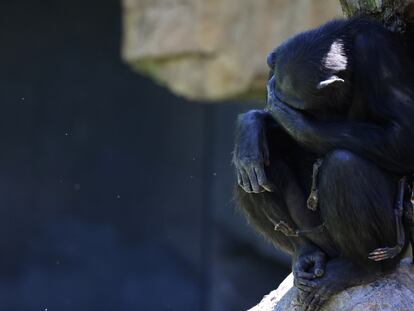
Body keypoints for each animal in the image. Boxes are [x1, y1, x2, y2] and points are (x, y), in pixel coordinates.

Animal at [234, 17, 414, 311]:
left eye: (303, 110)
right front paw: (251, 127)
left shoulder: (380, 52)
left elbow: (403, 135)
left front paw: (290, 122)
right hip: (319, 238)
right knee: (251, 174)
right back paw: (304, 253)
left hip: (394, 242)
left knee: (344, 166)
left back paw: (357, 270)